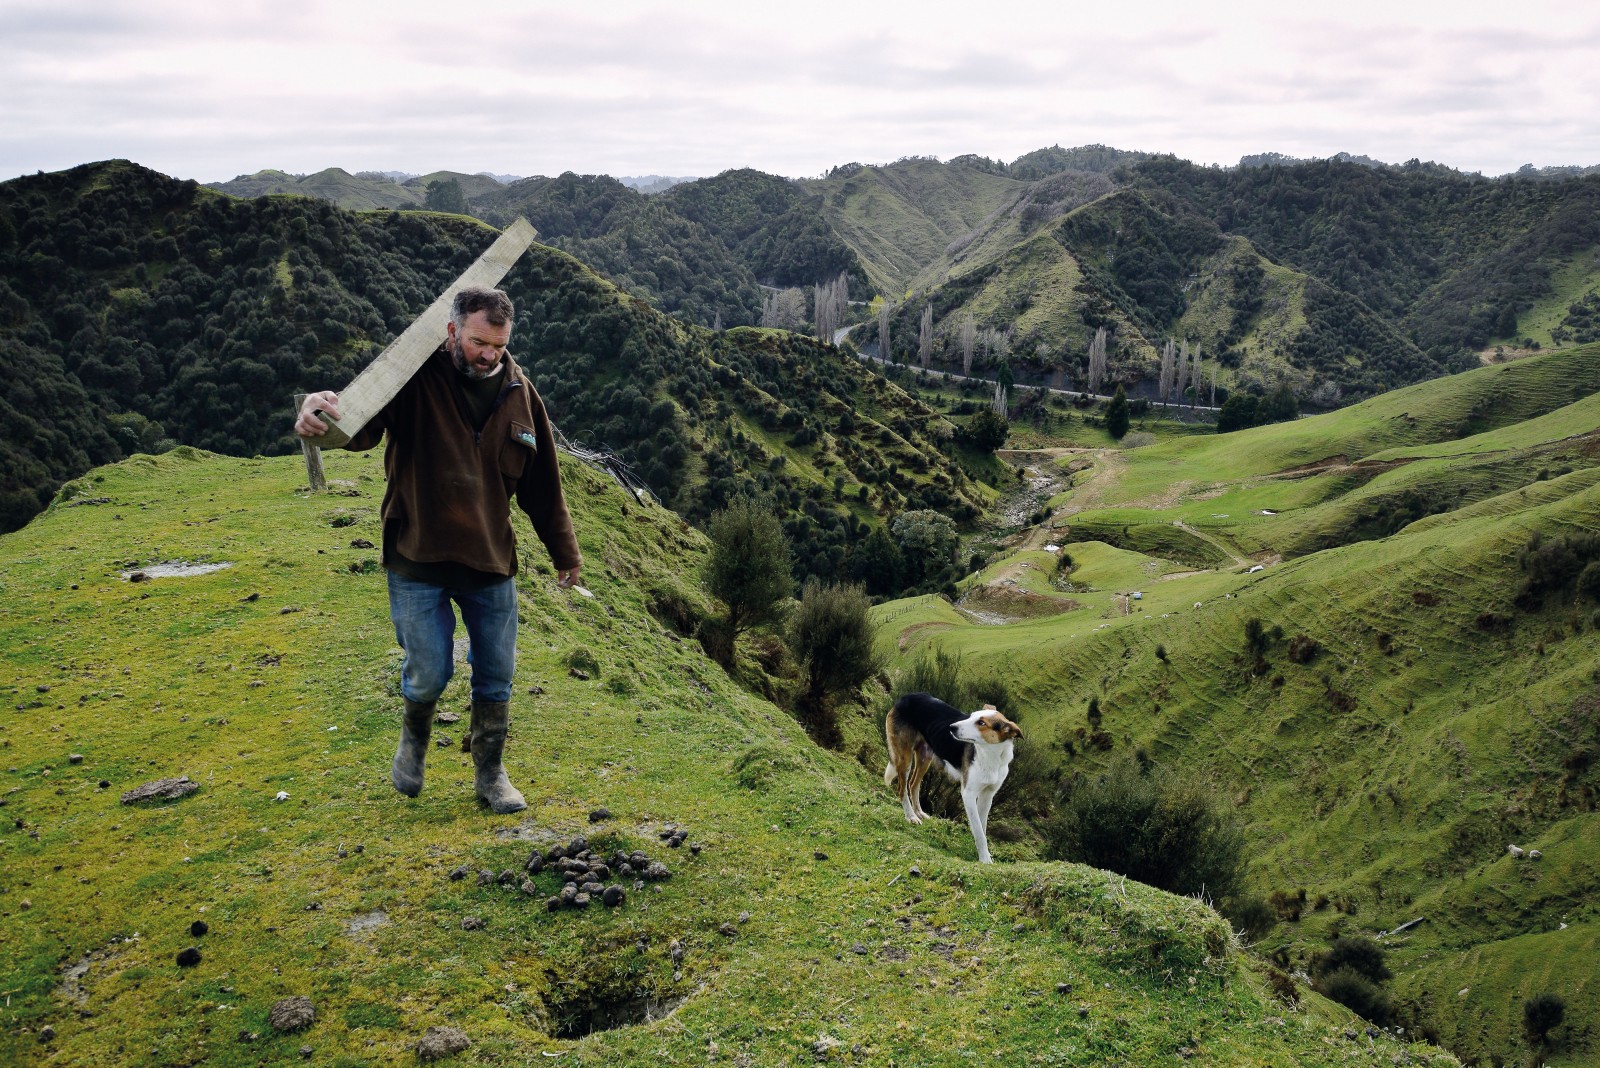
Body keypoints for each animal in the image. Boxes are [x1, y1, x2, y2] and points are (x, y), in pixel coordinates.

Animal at [889, 687, 1024, 863]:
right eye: (971, 715)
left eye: (981, 723)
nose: (951, 727)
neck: (991, 756)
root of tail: (906, 696)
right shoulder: (968, 794)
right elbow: (978, 830)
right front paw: (984, 859)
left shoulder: (988, 795)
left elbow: (982, 827)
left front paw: (984, 854)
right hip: (904, 756)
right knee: (902, 788)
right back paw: (911, 816)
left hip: (925, 755)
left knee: (913, 784)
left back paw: (919, 813)